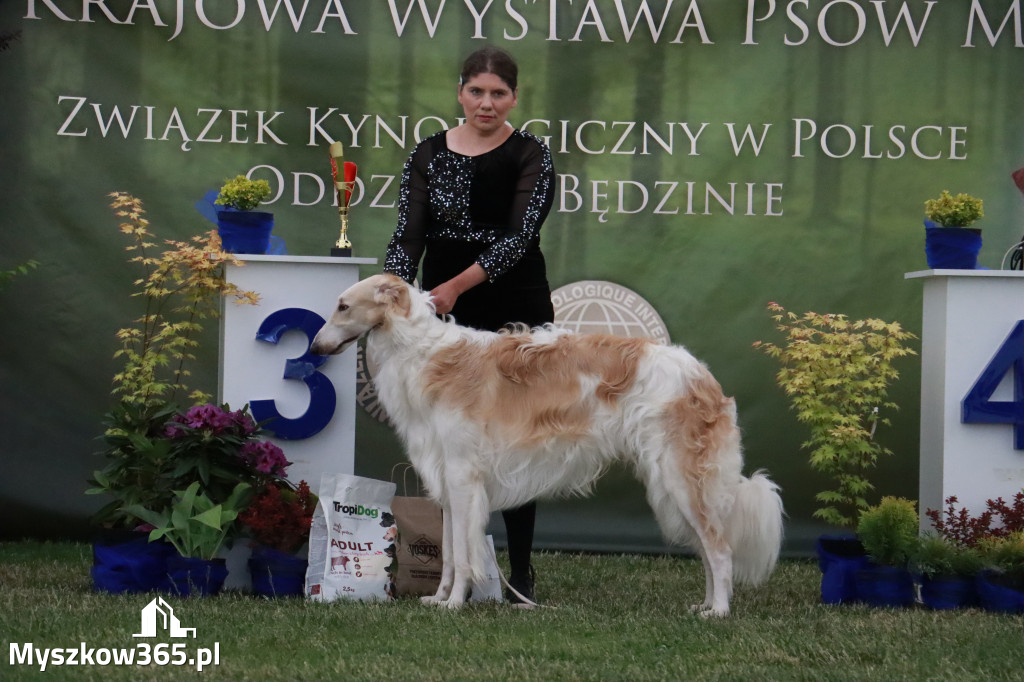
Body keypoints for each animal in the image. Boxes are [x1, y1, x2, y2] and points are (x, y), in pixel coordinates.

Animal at [311, 274, 782, 614]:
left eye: (343, 305)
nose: (314, 347)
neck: (423, 353)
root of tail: (703, 376)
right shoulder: (446, 477)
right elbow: (447, 553)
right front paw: (438, 598)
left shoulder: (464, 477)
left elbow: (462, 556)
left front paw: (454, 604)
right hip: (675, 483)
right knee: (708, 549)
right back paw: (704, 605)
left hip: (681, 479)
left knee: (719, 549)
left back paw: (718, 612)